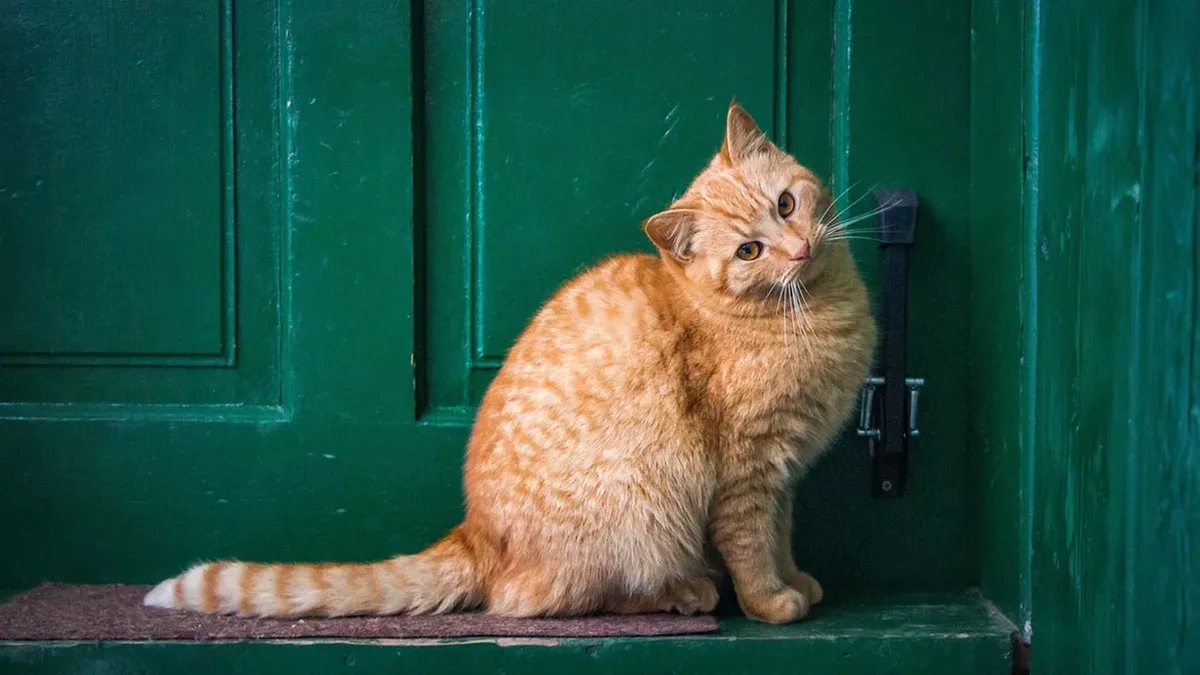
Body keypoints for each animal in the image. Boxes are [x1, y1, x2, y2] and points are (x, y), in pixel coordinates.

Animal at [147, 102, 883, 624]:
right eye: (749, 251)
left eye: (787, 204)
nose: (796, 249)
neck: (814, 310)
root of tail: (474, 532)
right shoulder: (746, 473)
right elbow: (751, 547)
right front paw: (771, 602)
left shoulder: (783, 475)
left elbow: (781, 537)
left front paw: (796, 579)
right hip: (641, 510)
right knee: (534, 600)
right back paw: (684, 591)